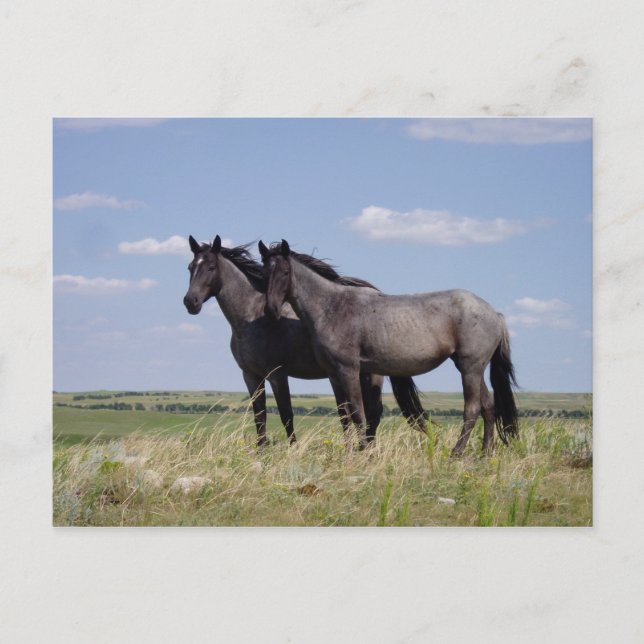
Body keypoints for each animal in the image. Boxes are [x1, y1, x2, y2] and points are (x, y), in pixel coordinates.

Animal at [183, 235, 427, 447]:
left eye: (211, 267)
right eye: (190, 267)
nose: (190, 301)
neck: (250, 318)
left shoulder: (278, 375)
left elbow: (286, 414)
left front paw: (292, 449)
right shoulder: (251, 376)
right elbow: (259, 416)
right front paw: (261, 451)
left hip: (371, 374)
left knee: (373, 413)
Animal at [259, 239, 519, 455]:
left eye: (285, 272)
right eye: (263, 273)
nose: (271, 310)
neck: (332, 307)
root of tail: (494, 314)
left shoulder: (349, 370)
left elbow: (358, 413)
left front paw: (363, 451)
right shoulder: (333, 374)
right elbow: (344, 415)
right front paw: (348, 451)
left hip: (469, 369)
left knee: (472, 409)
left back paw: (456, 453)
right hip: (473, 368)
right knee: (488, 407)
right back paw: (486, 453)